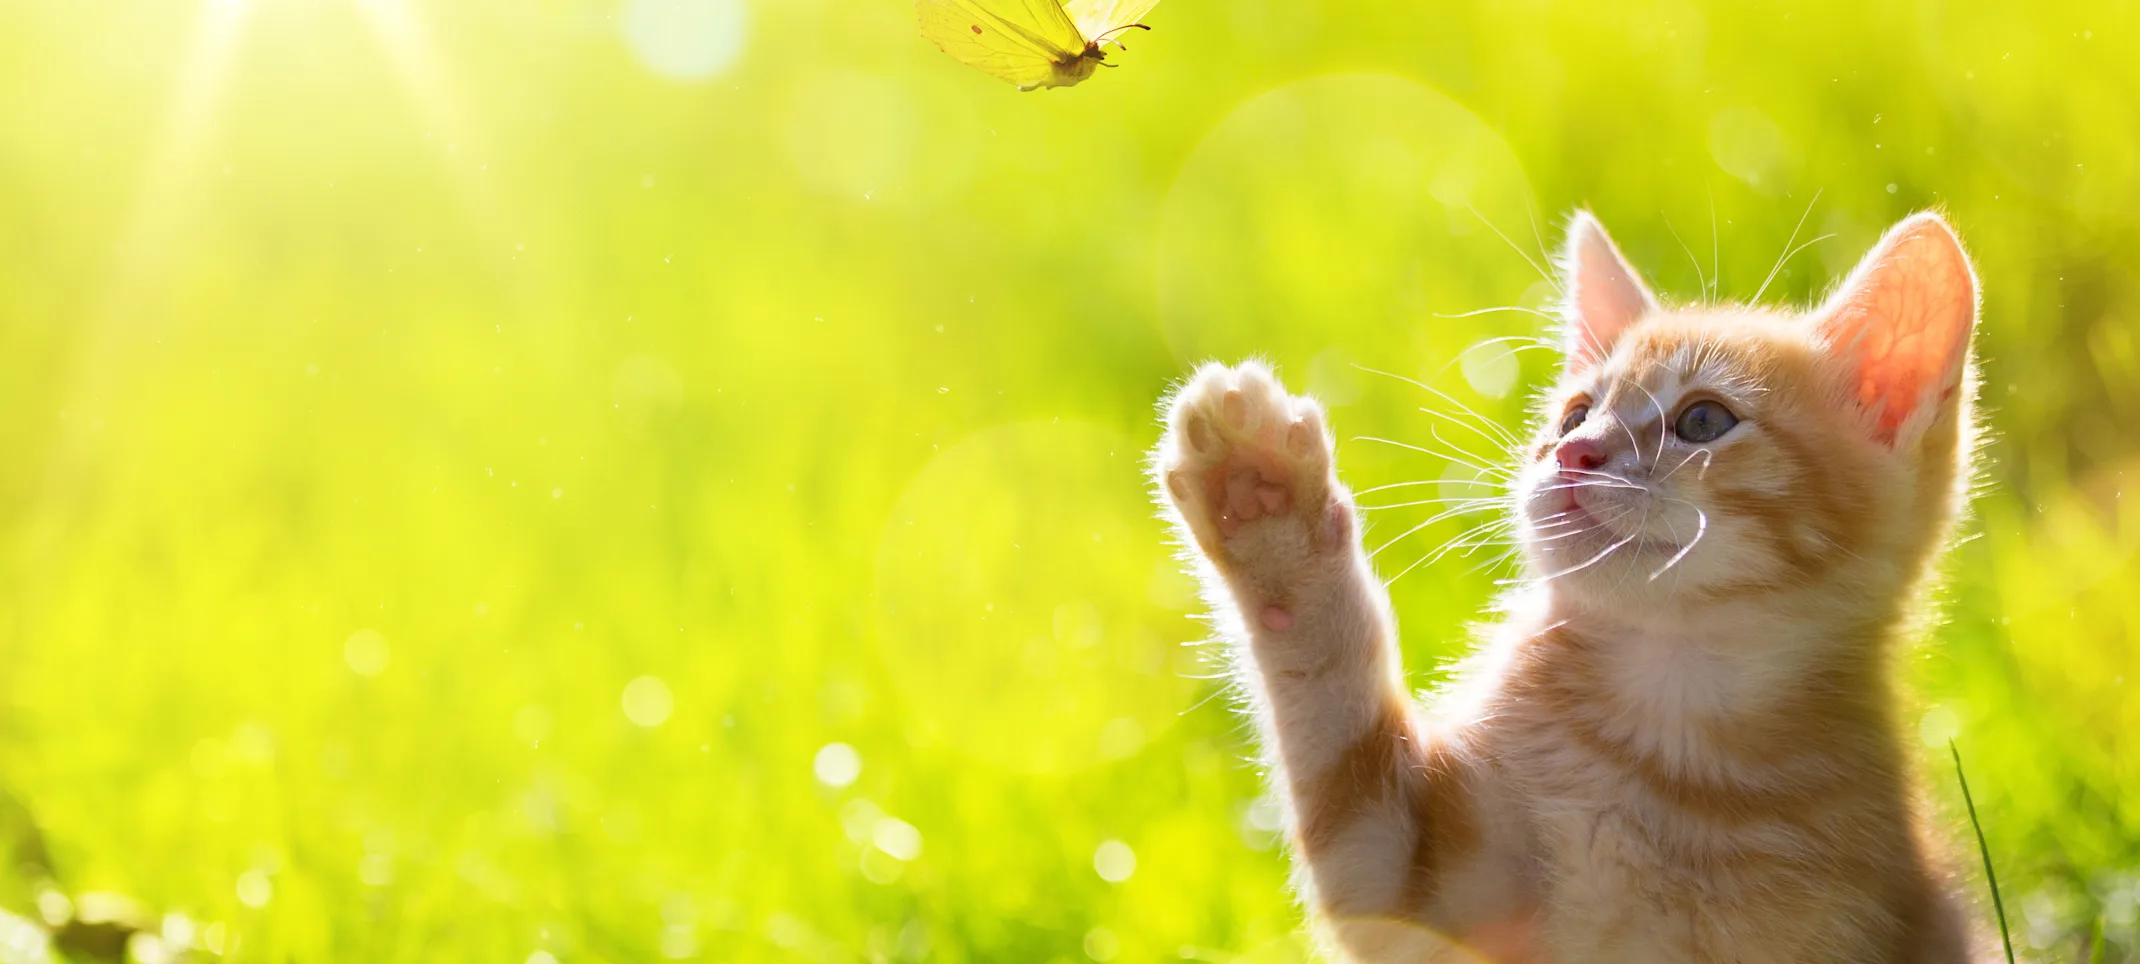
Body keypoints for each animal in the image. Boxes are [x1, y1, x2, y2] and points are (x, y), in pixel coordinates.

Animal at [1155, 213, 1985, 964]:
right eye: (1574, 415)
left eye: (1703, 420)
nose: (1574, 454)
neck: (1668, 741)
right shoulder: (1397, 870)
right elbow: (1333, 721)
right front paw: (1264, 504)